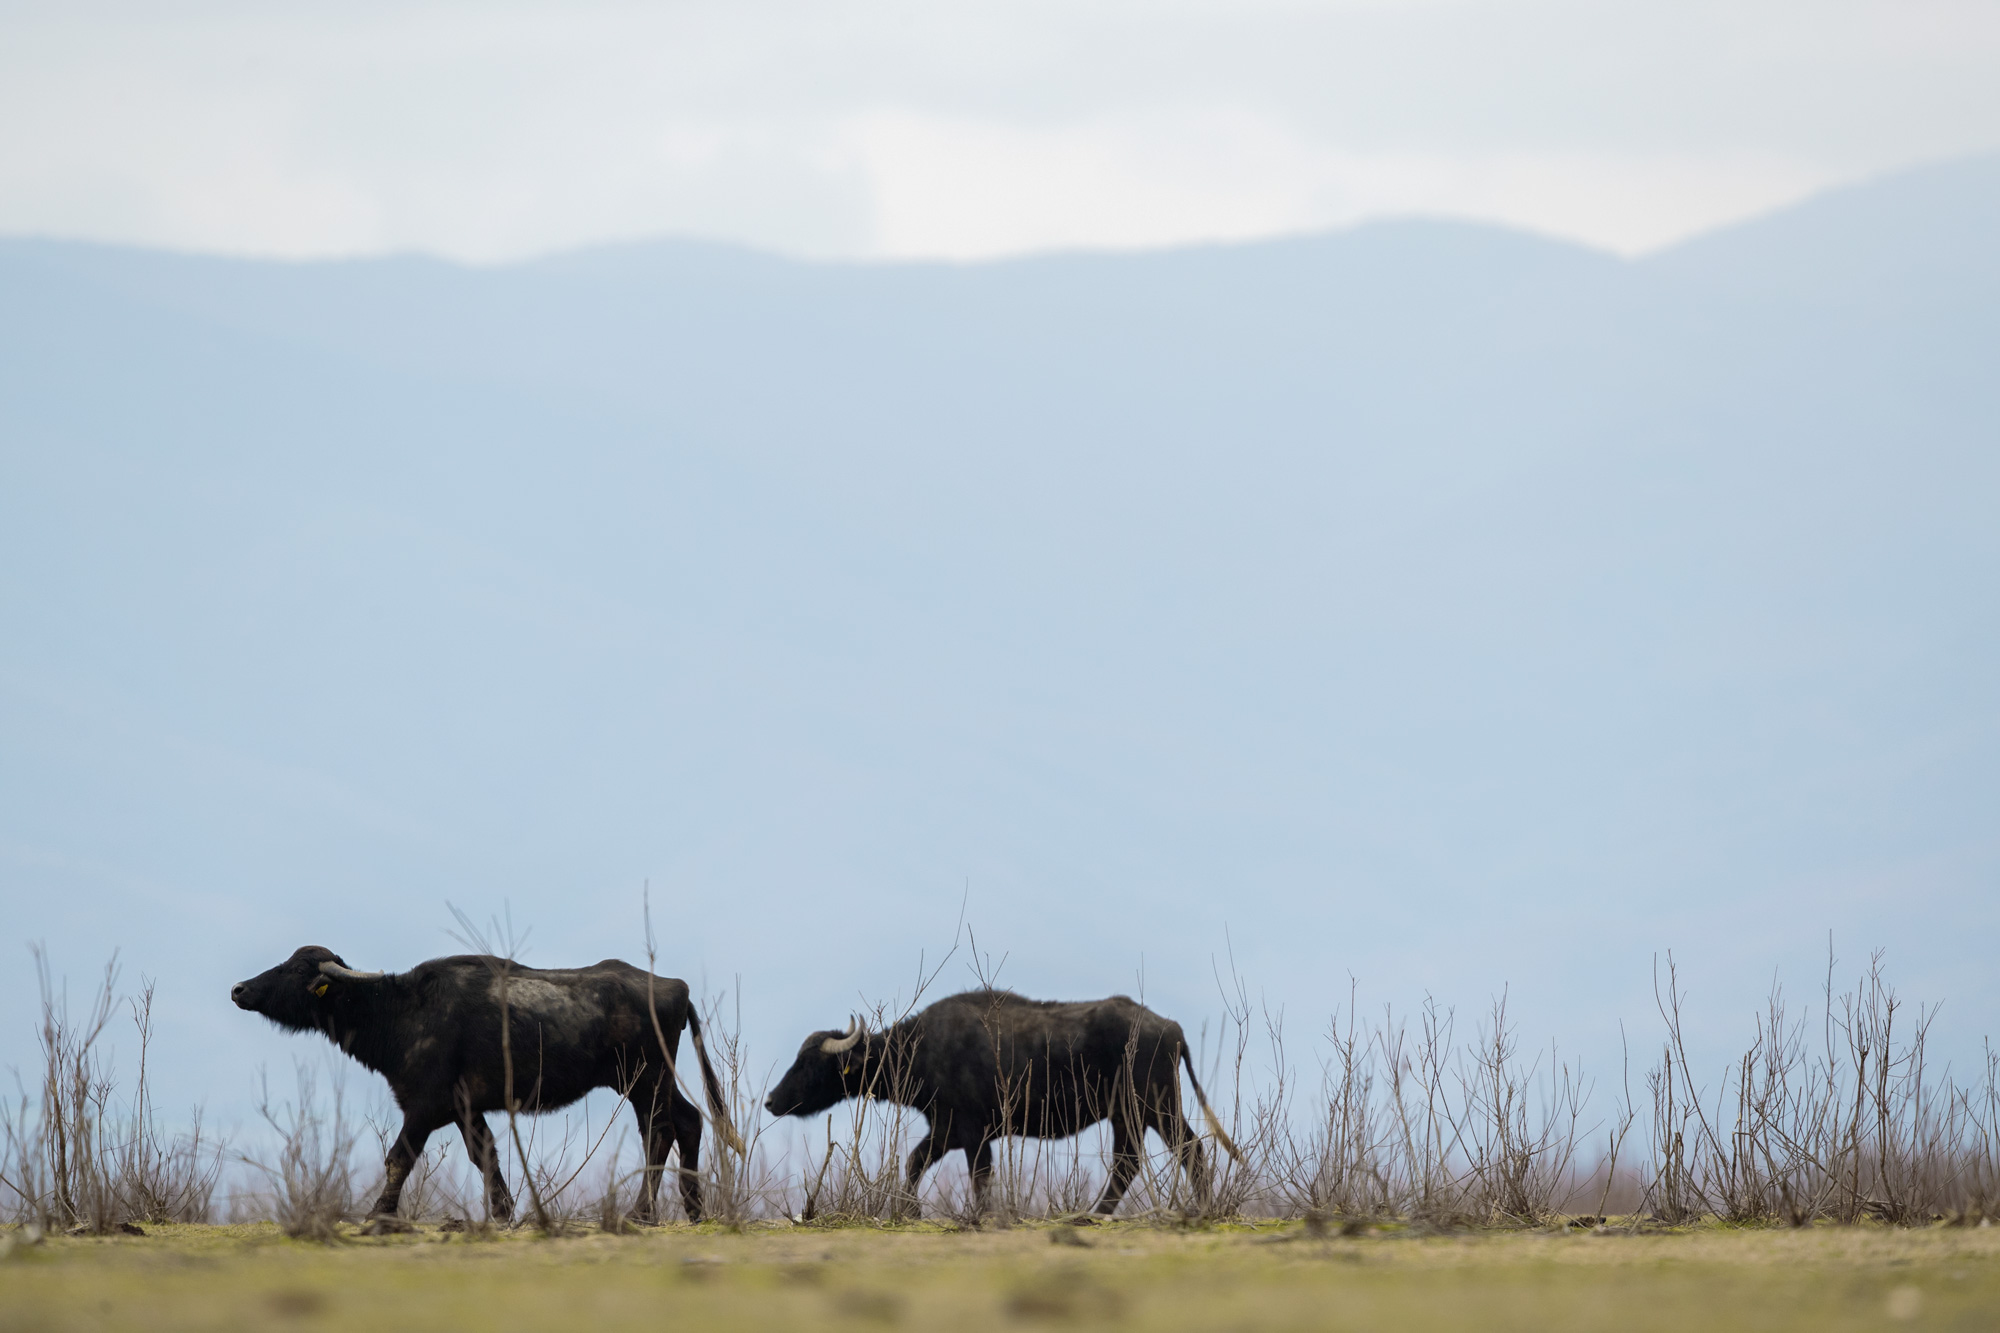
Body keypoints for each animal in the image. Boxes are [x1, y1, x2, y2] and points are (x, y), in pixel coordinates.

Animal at [232, 945, 742, 1224]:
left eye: (300, 970)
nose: (239, 989)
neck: (402, 1011)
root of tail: (675, 986)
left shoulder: (424, 1108)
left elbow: (399, 1157)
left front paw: (378, 1213)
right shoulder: (466, 1110)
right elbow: (487, 1156)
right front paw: (502, 1211)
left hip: (645, 1080)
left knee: (662, 1129)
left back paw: (644, 1213)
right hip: (649, 1082)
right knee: (687, 1122)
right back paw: (692, 1208)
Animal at [765, 989, 1240, 1215]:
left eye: (810, 1064)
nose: (771, 1100)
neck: (920, 1049)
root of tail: (1171, 1028)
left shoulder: (971, 1133)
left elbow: (978, 1177)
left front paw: (977, 1215)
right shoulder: (946, 1130)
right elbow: (914, 1162)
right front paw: (910, 1210)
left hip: (1154, 1108)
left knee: (1188, 1151)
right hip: (1130, 1116)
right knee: (1131, 1162)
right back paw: (1093, 1214)